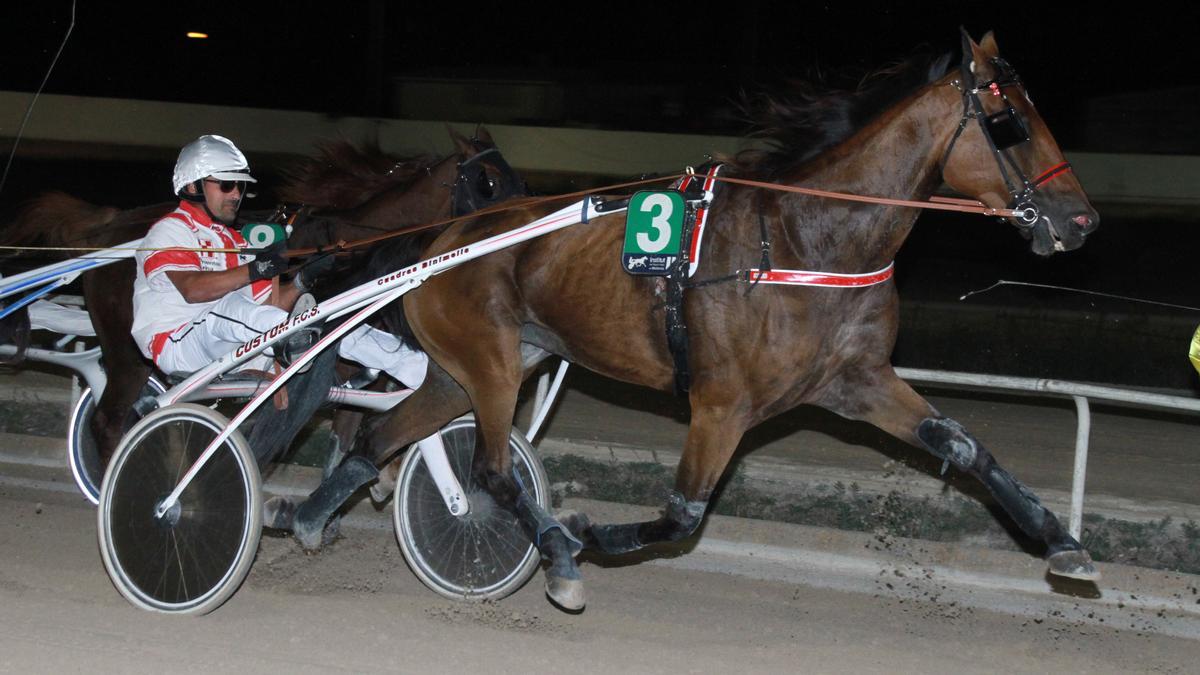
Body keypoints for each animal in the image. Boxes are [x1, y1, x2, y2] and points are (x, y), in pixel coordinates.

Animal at [2, 126, 523, 480]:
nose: (519, 223)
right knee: (110, 420)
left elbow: (351, 417)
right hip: (130, 354)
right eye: (488, 182)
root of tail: (109, 226)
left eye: (515, 179)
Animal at [352, 31, 1099, 610]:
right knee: (492, 470)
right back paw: (558, 553)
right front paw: (587, 534)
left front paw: (1065, 544)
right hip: (493, 365)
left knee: (379, 434)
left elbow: (963, 445)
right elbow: (682, 514)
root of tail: (448, 237)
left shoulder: (857, 380)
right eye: (1011, 122)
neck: (809, 241)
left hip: (470, 369)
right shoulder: (722, 404)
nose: (1081, 219)